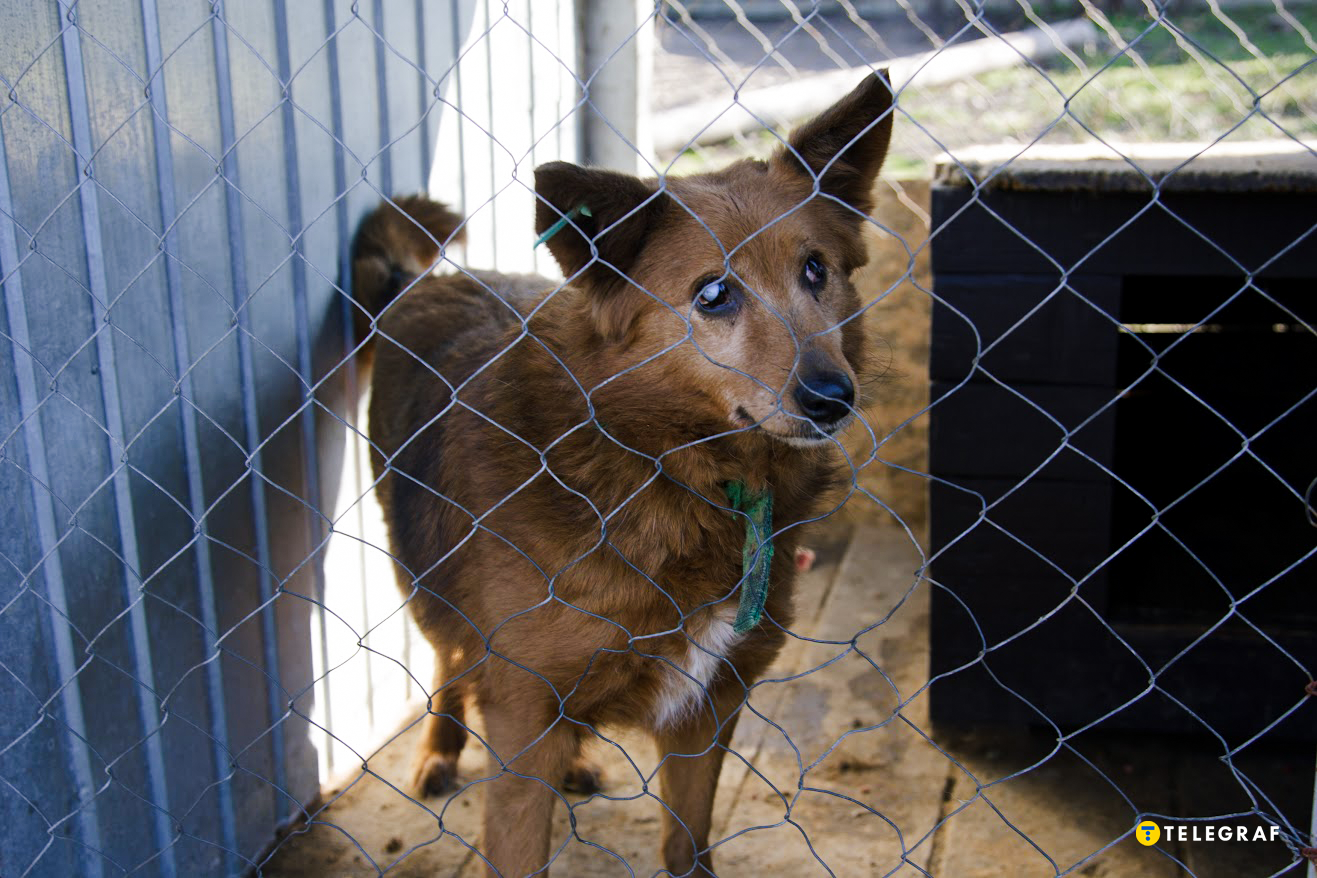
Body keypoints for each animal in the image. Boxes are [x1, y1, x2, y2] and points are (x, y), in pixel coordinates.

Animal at [352, 72, 895, 874]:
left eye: (816, 270)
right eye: (712, 294)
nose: (832, 396)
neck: (668, 469)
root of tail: (429, 279)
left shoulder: (707, 713)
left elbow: (687, 843)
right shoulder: (522, 721)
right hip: (421, 574)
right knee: (449, 654)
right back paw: (442, 748)